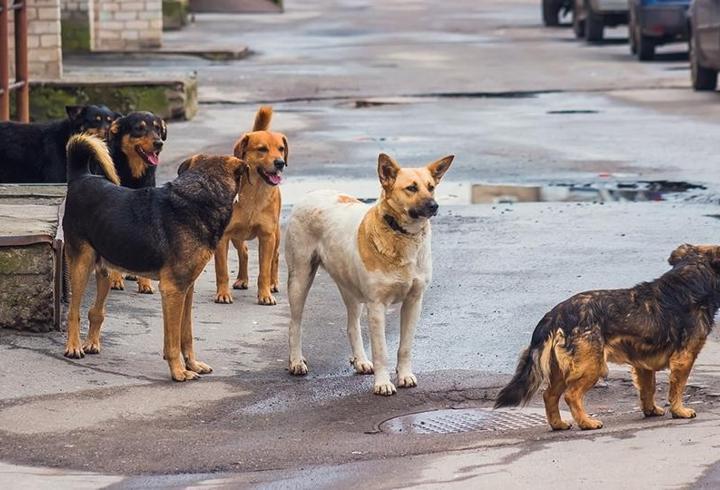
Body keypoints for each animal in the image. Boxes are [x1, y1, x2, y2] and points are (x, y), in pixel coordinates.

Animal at [62, 134, 248, 382]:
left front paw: (192, 364)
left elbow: (186, 334)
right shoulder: (173, 290)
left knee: (95, 311)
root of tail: (81, 177)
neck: (201, 195)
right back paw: (73, 347)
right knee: (73, 312)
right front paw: (178, 371)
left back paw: (91, 342)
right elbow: (172, 341)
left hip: (105, 270)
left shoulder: (187, 289)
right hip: (81, 265)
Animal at [105, 111, 167, 294]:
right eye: (139, 128)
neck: (134, 175)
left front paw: (145, 283)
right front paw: (115, 279)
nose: (159, 143)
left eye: (158, 129)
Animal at [284, 153, 452, 394]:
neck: (401, 234)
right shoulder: (377, 306)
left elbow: (405, 347)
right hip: (300, 279)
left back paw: (361, 361)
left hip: (350, 288)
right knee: (294, 324)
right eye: (411, 188)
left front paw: (404, 375)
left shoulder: (414, 302)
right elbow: (381, 351)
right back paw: (296, 361)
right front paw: (383, 383)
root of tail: (311, 194)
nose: (434, 205)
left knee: (352, 326)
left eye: (431, 187)